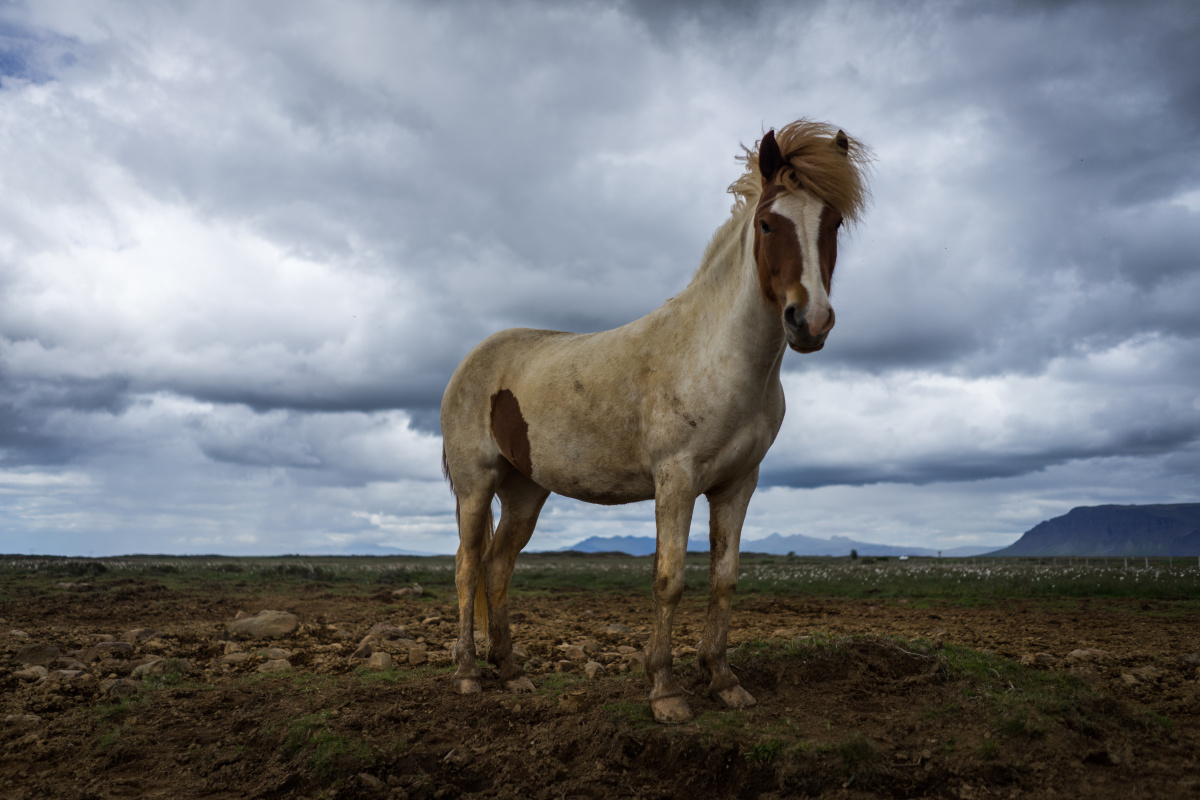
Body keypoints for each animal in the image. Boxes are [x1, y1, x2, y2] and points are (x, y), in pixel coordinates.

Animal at [440, 120, 871, 723]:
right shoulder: (676, 480)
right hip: (476, 484)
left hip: (525, 490)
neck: (717, 357)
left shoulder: (738, 485)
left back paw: (513, 673)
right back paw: (466, 676)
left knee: (498, 566)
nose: (809, 321)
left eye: (832, 224)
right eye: (767, 223)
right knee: (466, 566)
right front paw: (666, 691)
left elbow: (724, 580)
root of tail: (471, 361)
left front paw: (723, 681)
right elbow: (669, 580)